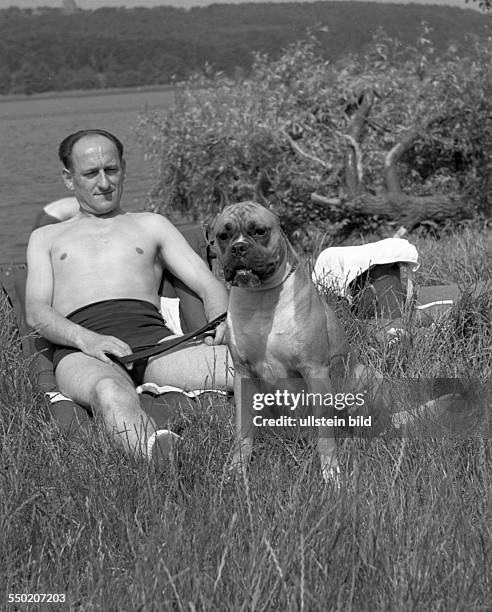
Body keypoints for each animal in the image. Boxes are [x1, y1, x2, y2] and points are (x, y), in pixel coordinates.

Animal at [211, 201, 368, 482]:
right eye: (223, 235)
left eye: (259, 231)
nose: (238, 248)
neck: (260, 297)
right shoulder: (243, 374)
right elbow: (243, 430)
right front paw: (237, 469)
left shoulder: (314, 370)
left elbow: (326, 433)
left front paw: (331, 473)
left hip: (365, 375)